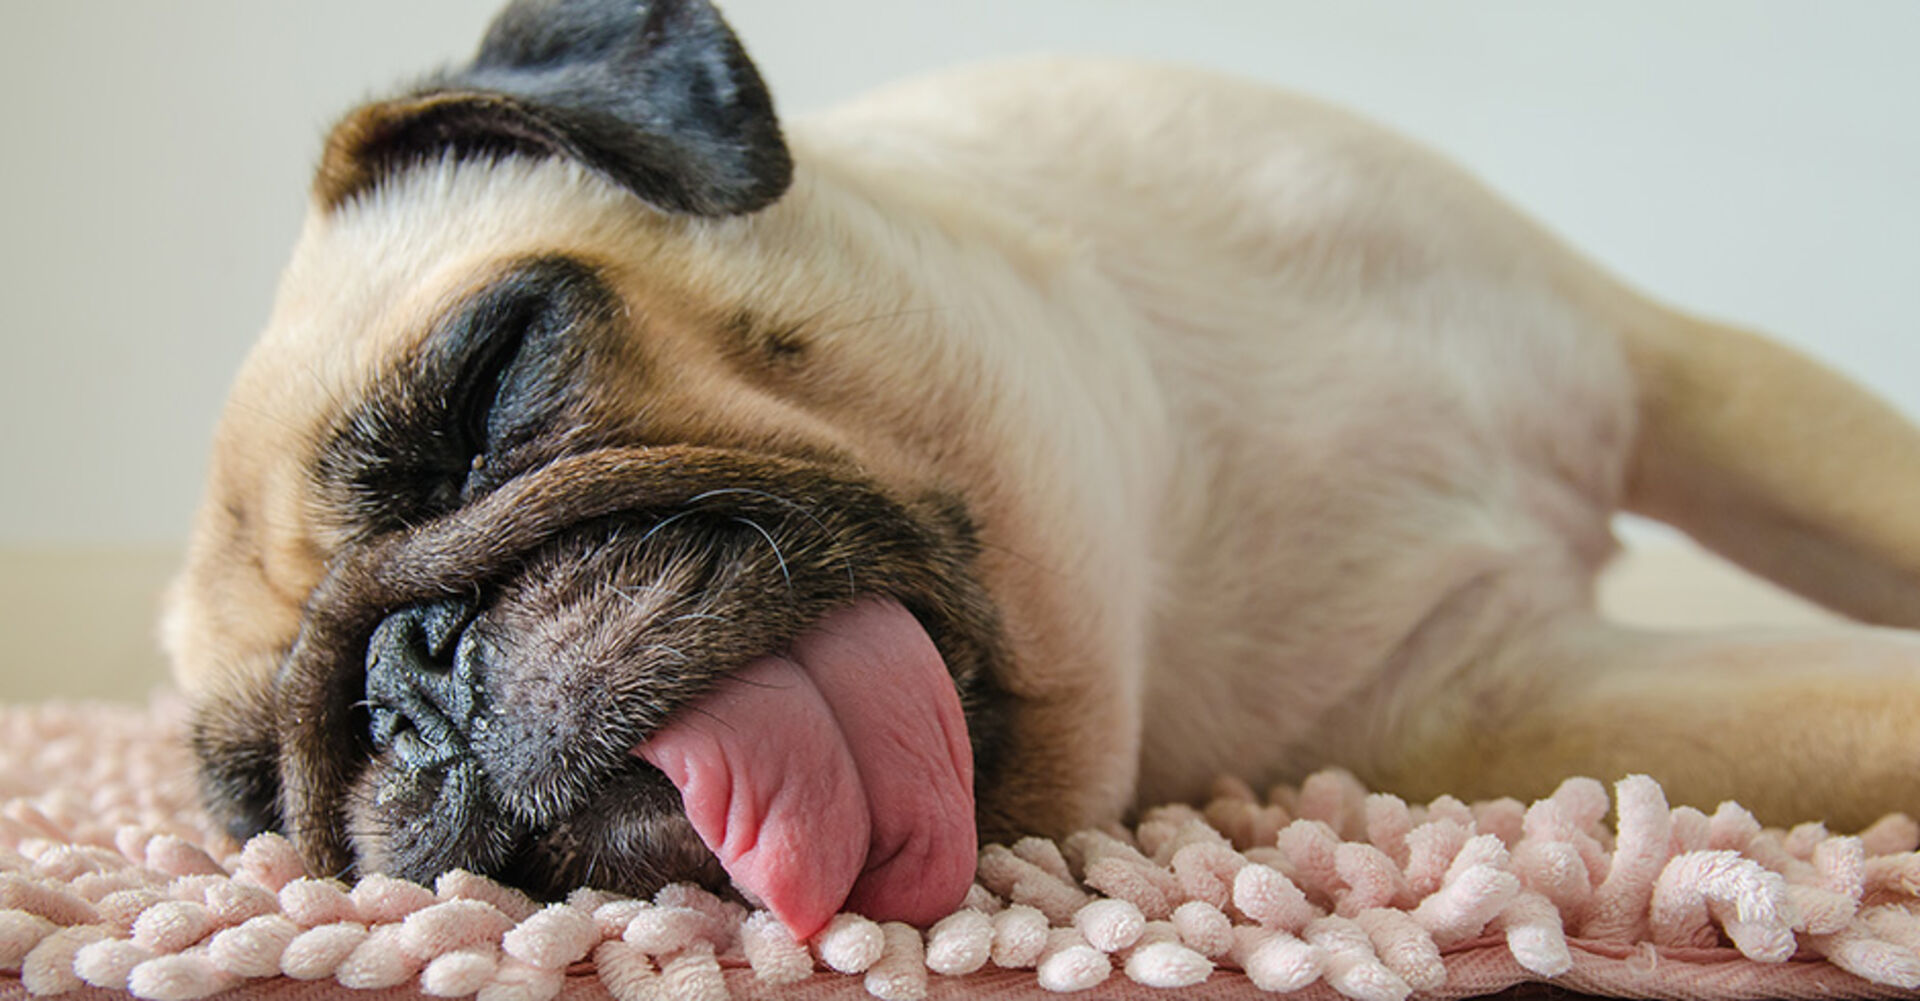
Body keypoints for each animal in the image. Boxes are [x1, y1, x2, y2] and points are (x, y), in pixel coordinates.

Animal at [163, 0, 1920, 938]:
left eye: (494, 375)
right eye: (260, 802)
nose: (410, 677)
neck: (1170, 461)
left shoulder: (1675, 369)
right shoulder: (1498, 698)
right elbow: (1868, 708)